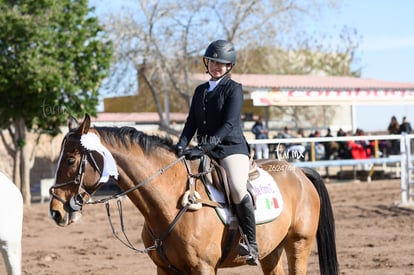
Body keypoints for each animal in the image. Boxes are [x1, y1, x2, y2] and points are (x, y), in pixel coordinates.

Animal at [49, 115, 340, 275]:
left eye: (72, 160)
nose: (56, 211)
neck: (168, 203)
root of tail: (300, 172)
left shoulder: (204, 268)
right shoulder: (165, 270)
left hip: (299, 243)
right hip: (272, 250)